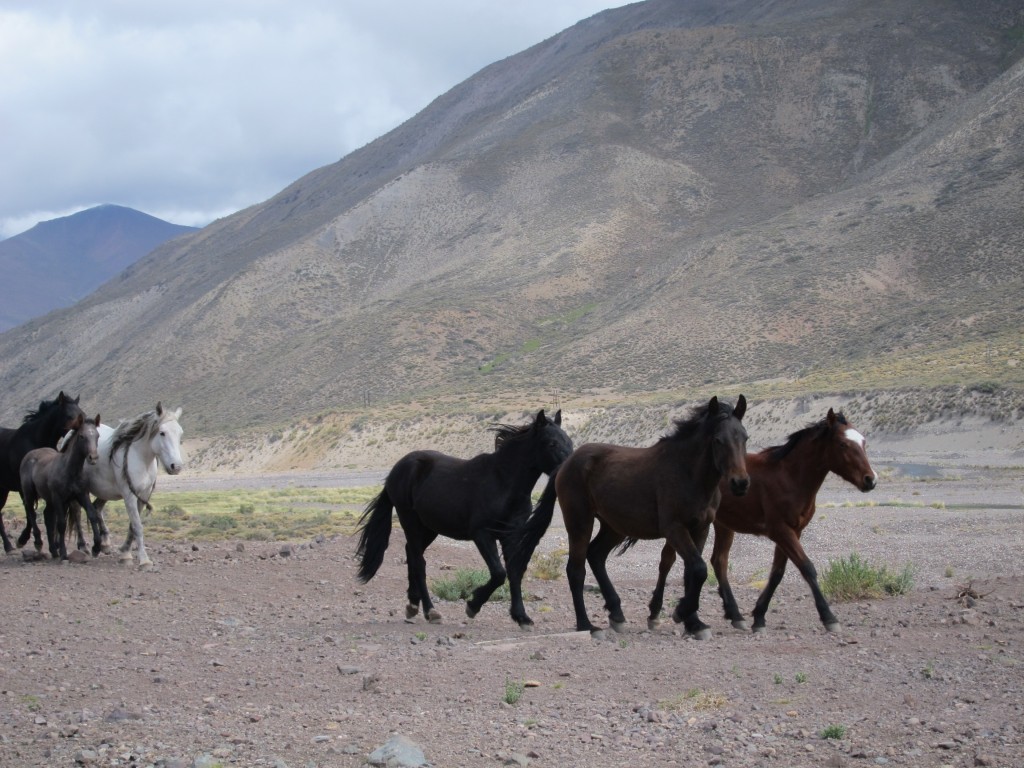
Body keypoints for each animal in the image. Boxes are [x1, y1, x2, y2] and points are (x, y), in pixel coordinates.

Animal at [0, 397, 85, 552]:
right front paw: (28, 540)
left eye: (82, 414)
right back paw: (9, 545)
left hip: (3, 489)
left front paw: (54, 544)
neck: (35, 441)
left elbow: (49, 515)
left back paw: (8, 546)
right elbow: (31, 512)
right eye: (69, 416)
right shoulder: (24, 488)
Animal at [70, 403, 184, 565]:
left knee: (96, 508)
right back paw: (83, 547)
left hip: (104, 491)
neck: (141, 459)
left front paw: (125, 552)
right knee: (77, 512)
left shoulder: (143, 495)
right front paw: (144, 560)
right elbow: (137, 526)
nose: (176, 466)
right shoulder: (129, 495)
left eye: (180, 433)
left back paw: (105, 543)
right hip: (79, 490)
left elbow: (132, 526)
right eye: (162, 433)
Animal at [356, 411, 573, 626]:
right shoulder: (482, 534)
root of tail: (399, 468)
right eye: (552, 443)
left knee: (411, 554)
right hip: (410, 521)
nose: (567, 471)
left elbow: (514, 572)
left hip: (429, 529)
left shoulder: (510, 536)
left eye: (569, 442)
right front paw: (473, 605)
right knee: (418, 563)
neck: (502, 482)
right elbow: (499, 573)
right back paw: (430, 611)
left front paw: (521, 616)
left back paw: (413, 605)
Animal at [516, 397, 749, 638]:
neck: (687, 473)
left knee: (596, 555)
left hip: (613, 527)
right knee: (576, 570)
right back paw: (586, 624)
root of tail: (566, 463)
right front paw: (681, 613)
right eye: (718, 440)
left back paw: (616, 613)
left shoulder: (700, 528)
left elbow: (692, 572)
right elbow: (699, 570)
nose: (740, 483)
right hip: (580, 522)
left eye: (745, 437)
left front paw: (693, 622)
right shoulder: (675, 529)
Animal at [643, 411, 876, 634]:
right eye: (843, 444)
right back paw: (655, 613)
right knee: (668, 561)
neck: (789, 476)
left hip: (722, 526)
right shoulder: (781, 531)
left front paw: (759, 617)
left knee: (718, 561)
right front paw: (829, 617)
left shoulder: (793, 531)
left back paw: (735, 615)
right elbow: (807, 567)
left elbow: (777, 574)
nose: (870, 480)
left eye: (864, 442)